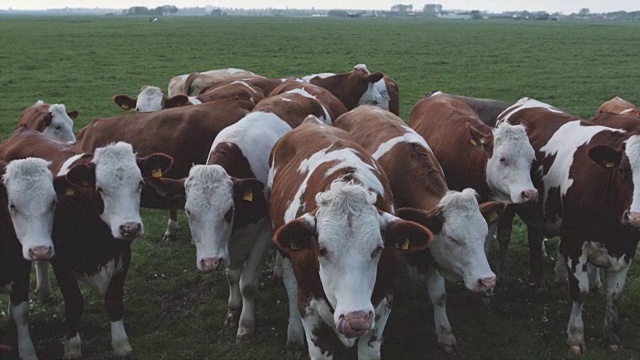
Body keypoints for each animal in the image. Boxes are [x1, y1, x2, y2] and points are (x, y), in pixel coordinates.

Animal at [0, 128, 172, 358]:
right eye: (100, 188)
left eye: (140, 184)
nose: (130, 227)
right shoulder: (61, 262)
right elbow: (74, 303)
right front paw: (72, 347)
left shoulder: (123, 256)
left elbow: (114, 299)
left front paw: (121, 343)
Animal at [268, 116, 432, 358]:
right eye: (322, 249)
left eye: (378, 248)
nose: (356, 319)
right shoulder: (309, 308)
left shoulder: (383, 305)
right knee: (289, 284)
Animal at [500, 97, 640, 354]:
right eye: (622, 170)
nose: (635, 217)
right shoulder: (575, 241)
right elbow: (579, 290)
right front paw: (575, 336)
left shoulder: (626, 245)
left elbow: (614, 294)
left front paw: (611, 334)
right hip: (508, 203)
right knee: (504, 235)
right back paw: (504, 277)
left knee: (535, 236)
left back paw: (539, 281)